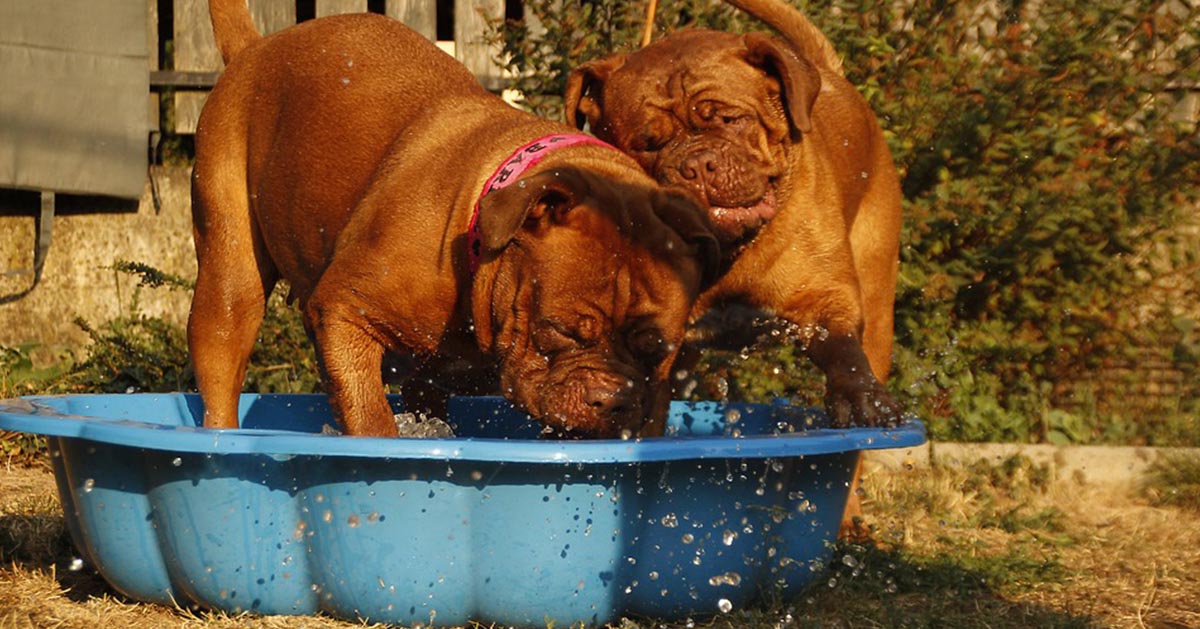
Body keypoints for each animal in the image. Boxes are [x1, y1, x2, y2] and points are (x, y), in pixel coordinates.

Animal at [184, 0, 710, 439]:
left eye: (656, 351)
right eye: (560, 330)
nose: (614, 400)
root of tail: (256, 46)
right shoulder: (342, 312)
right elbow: (370, 415)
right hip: (229, 281)